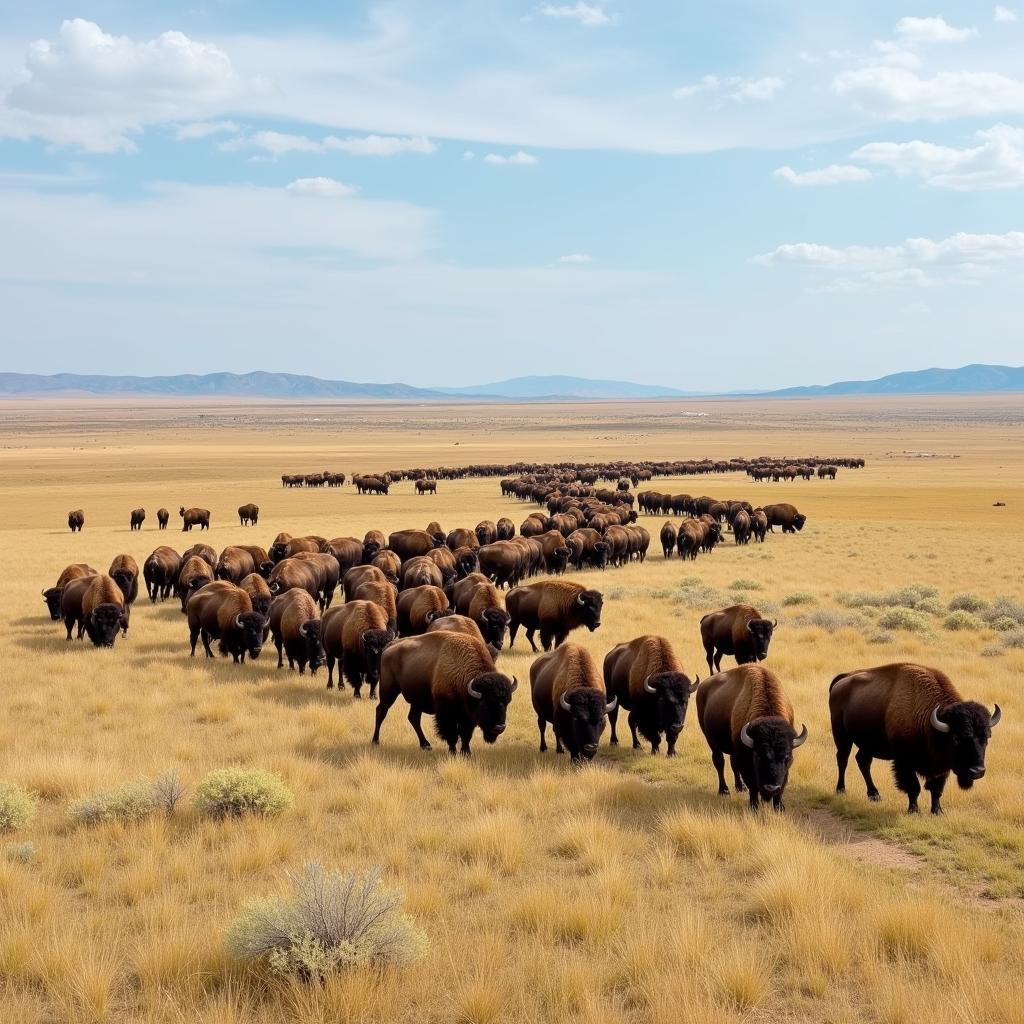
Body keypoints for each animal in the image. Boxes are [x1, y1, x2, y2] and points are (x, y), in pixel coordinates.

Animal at [372, 630, 516, 753]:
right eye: (486, 704)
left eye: (507, 702)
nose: (499, 727)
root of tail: (390, 646)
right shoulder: (446, 711)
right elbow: (451, 733)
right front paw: (452, 751)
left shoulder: (468, 715)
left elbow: (466, 734)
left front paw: (466, 752)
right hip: (389, 691)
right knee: (381, 711)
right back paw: (375, 741)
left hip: (416, 700)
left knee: (413, 718)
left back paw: (425, 745)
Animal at [696, 667, 806, 811]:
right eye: (758, 756)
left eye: (787, 757)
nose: (771, 788)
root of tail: (703, 686)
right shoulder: (746, 760)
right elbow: (752, 784)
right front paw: (754, 806)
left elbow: (782, 784)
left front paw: (779, 807)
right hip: (711, 741)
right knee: (719, 762)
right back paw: (724, 791)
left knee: (732, 763)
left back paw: (740, 787)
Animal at [827, 663, 1003, 815]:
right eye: (957, 738)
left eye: (987, 737)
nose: (977, 771)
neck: (929, 723)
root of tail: (843, 679)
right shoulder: (904, 762)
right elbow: (914, 787)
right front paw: (914, 810)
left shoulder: (941, 767)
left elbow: (936, 789)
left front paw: (937, 811)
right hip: (842, 735)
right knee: (842, 759)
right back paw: (841, 790)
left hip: (867, 744)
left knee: (863, 761)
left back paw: (874, 795)